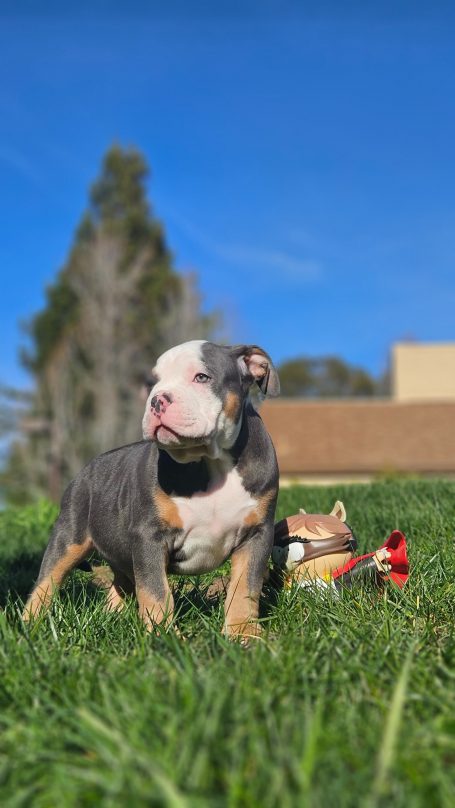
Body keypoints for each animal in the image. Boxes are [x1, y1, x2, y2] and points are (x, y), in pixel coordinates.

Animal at [25, 340, 282, 636]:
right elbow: (155, 591)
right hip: (69, 535)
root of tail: (85, 469)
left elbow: (245, 588)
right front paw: (165, 638)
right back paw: (29, 623)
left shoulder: (257, 534)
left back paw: (112, 616)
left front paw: (243, 634)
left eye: (202, 377)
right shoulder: (149, 536)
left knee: (122, 581)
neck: (210, 462)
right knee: (47, 580)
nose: (157, 399)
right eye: (151, 384)